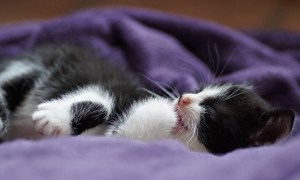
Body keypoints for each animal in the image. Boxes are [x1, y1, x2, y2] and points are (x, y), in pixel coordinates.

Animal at [0, 45, 296, 153]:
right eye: (198, 89)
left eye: (211, 113)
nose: (183, 98)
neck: (169, 135)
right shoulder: (122, 90)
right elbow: (104, 96)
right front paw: (55, 118)